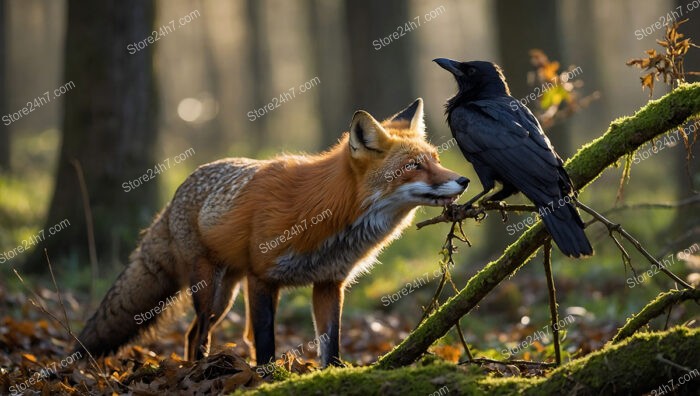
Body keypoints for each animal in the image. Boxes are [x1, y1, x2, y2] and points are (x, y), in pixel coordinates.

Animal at [75, 99, 470, 368]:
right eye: (414, 166)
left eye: (435, 160)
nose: (465, 180)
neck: (331, 219)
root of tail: (174, 197)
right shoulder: (262, 278)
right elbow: (264, 342)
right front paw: (266, 378)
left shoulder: (329, 283)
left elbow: (331, 345)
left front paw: (333, 373)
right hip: (208, 288)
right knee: (199, 333)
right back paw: (196, 371)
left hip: (225, 295)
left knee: (192, 334)